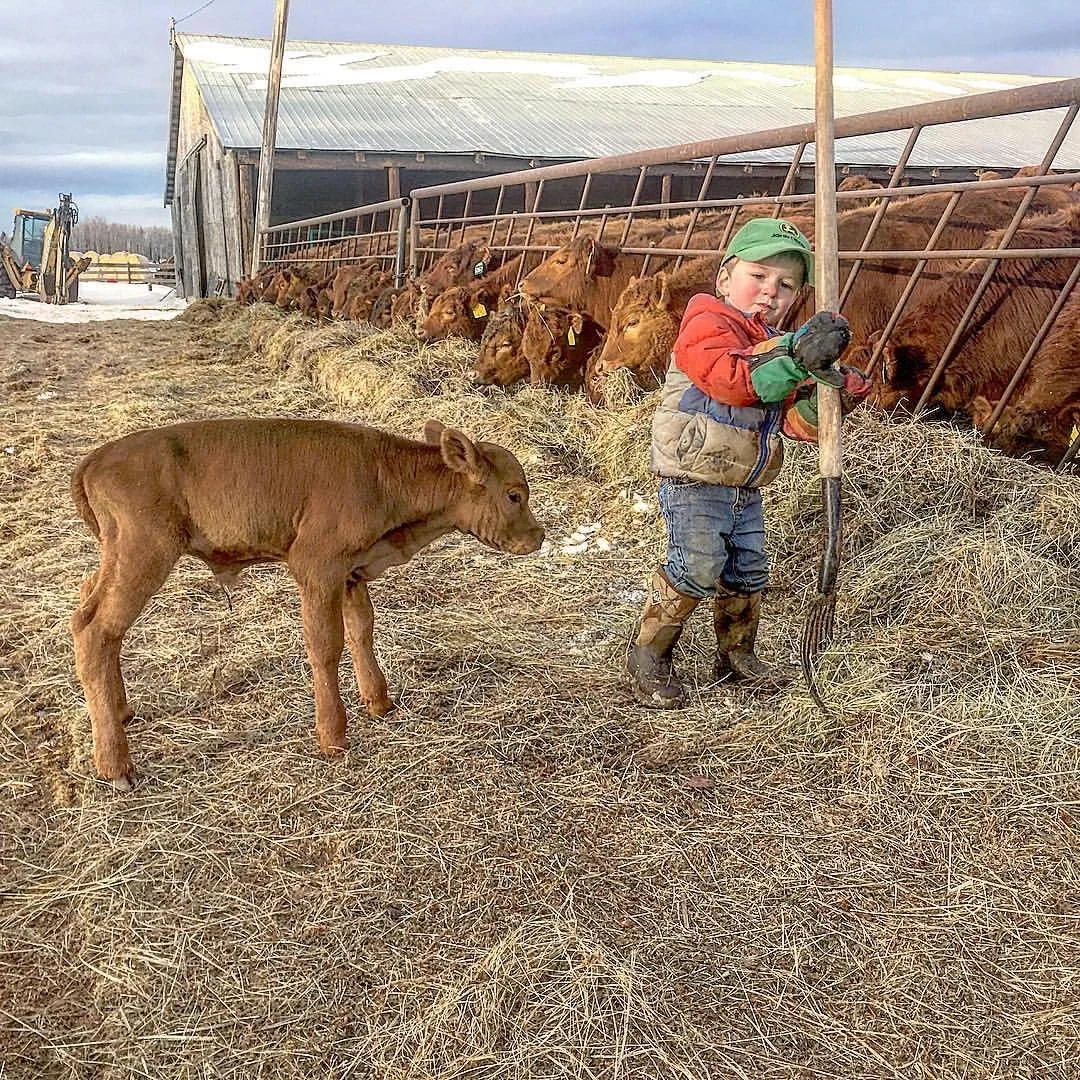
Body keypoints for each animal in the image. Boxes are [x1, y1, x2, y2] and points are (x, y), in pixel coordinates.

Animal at [70, 418, 544, 790]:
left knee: (89, 605)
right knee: (95, 629)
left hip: (117, 558)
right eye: (514, 495)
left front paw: (379, 703)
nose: (538, 537)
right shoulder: (317, 567)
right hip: (145, 554)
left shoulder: (351, 573)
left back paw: (121, 710)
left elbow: (362, 630)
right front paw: (334, 737)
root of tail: (96, 458)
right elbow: (325, 646)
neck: (383, 478)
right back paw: (115, 766)